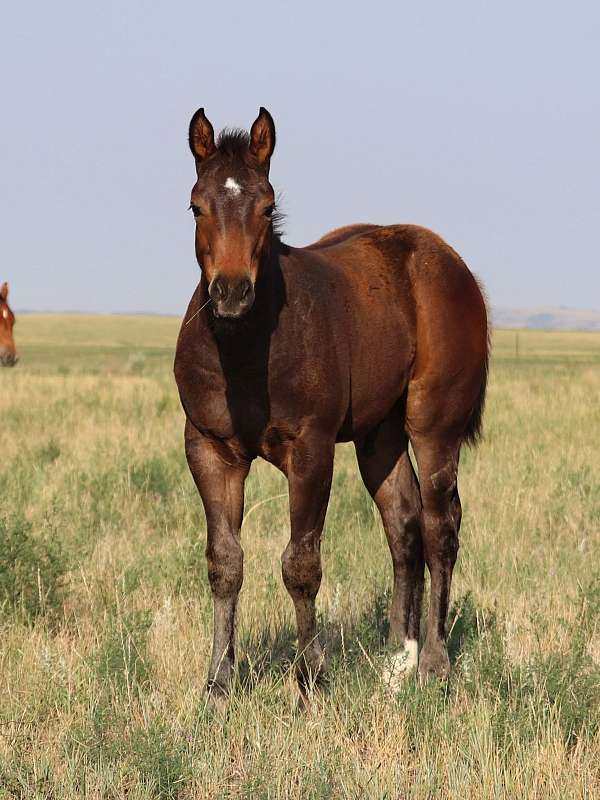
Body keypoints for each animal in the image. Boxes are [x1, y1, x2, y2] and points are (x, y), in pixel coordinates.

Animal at [174, 107, 489, 703]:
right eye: (196, 205)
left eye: (267, 206)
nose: (231, 293)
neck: (247, 352)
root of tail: (451, 262)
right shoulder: (209, 450)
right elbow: (225, 563)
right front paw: (218, 683)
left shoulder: (311, 452)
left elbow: (301, 564)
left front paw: (310, 678)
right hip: (378, 435)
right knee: (403, 523)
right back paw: (398, 662)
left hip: (434, 425)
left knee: (441, 525)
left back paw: (434, 664)